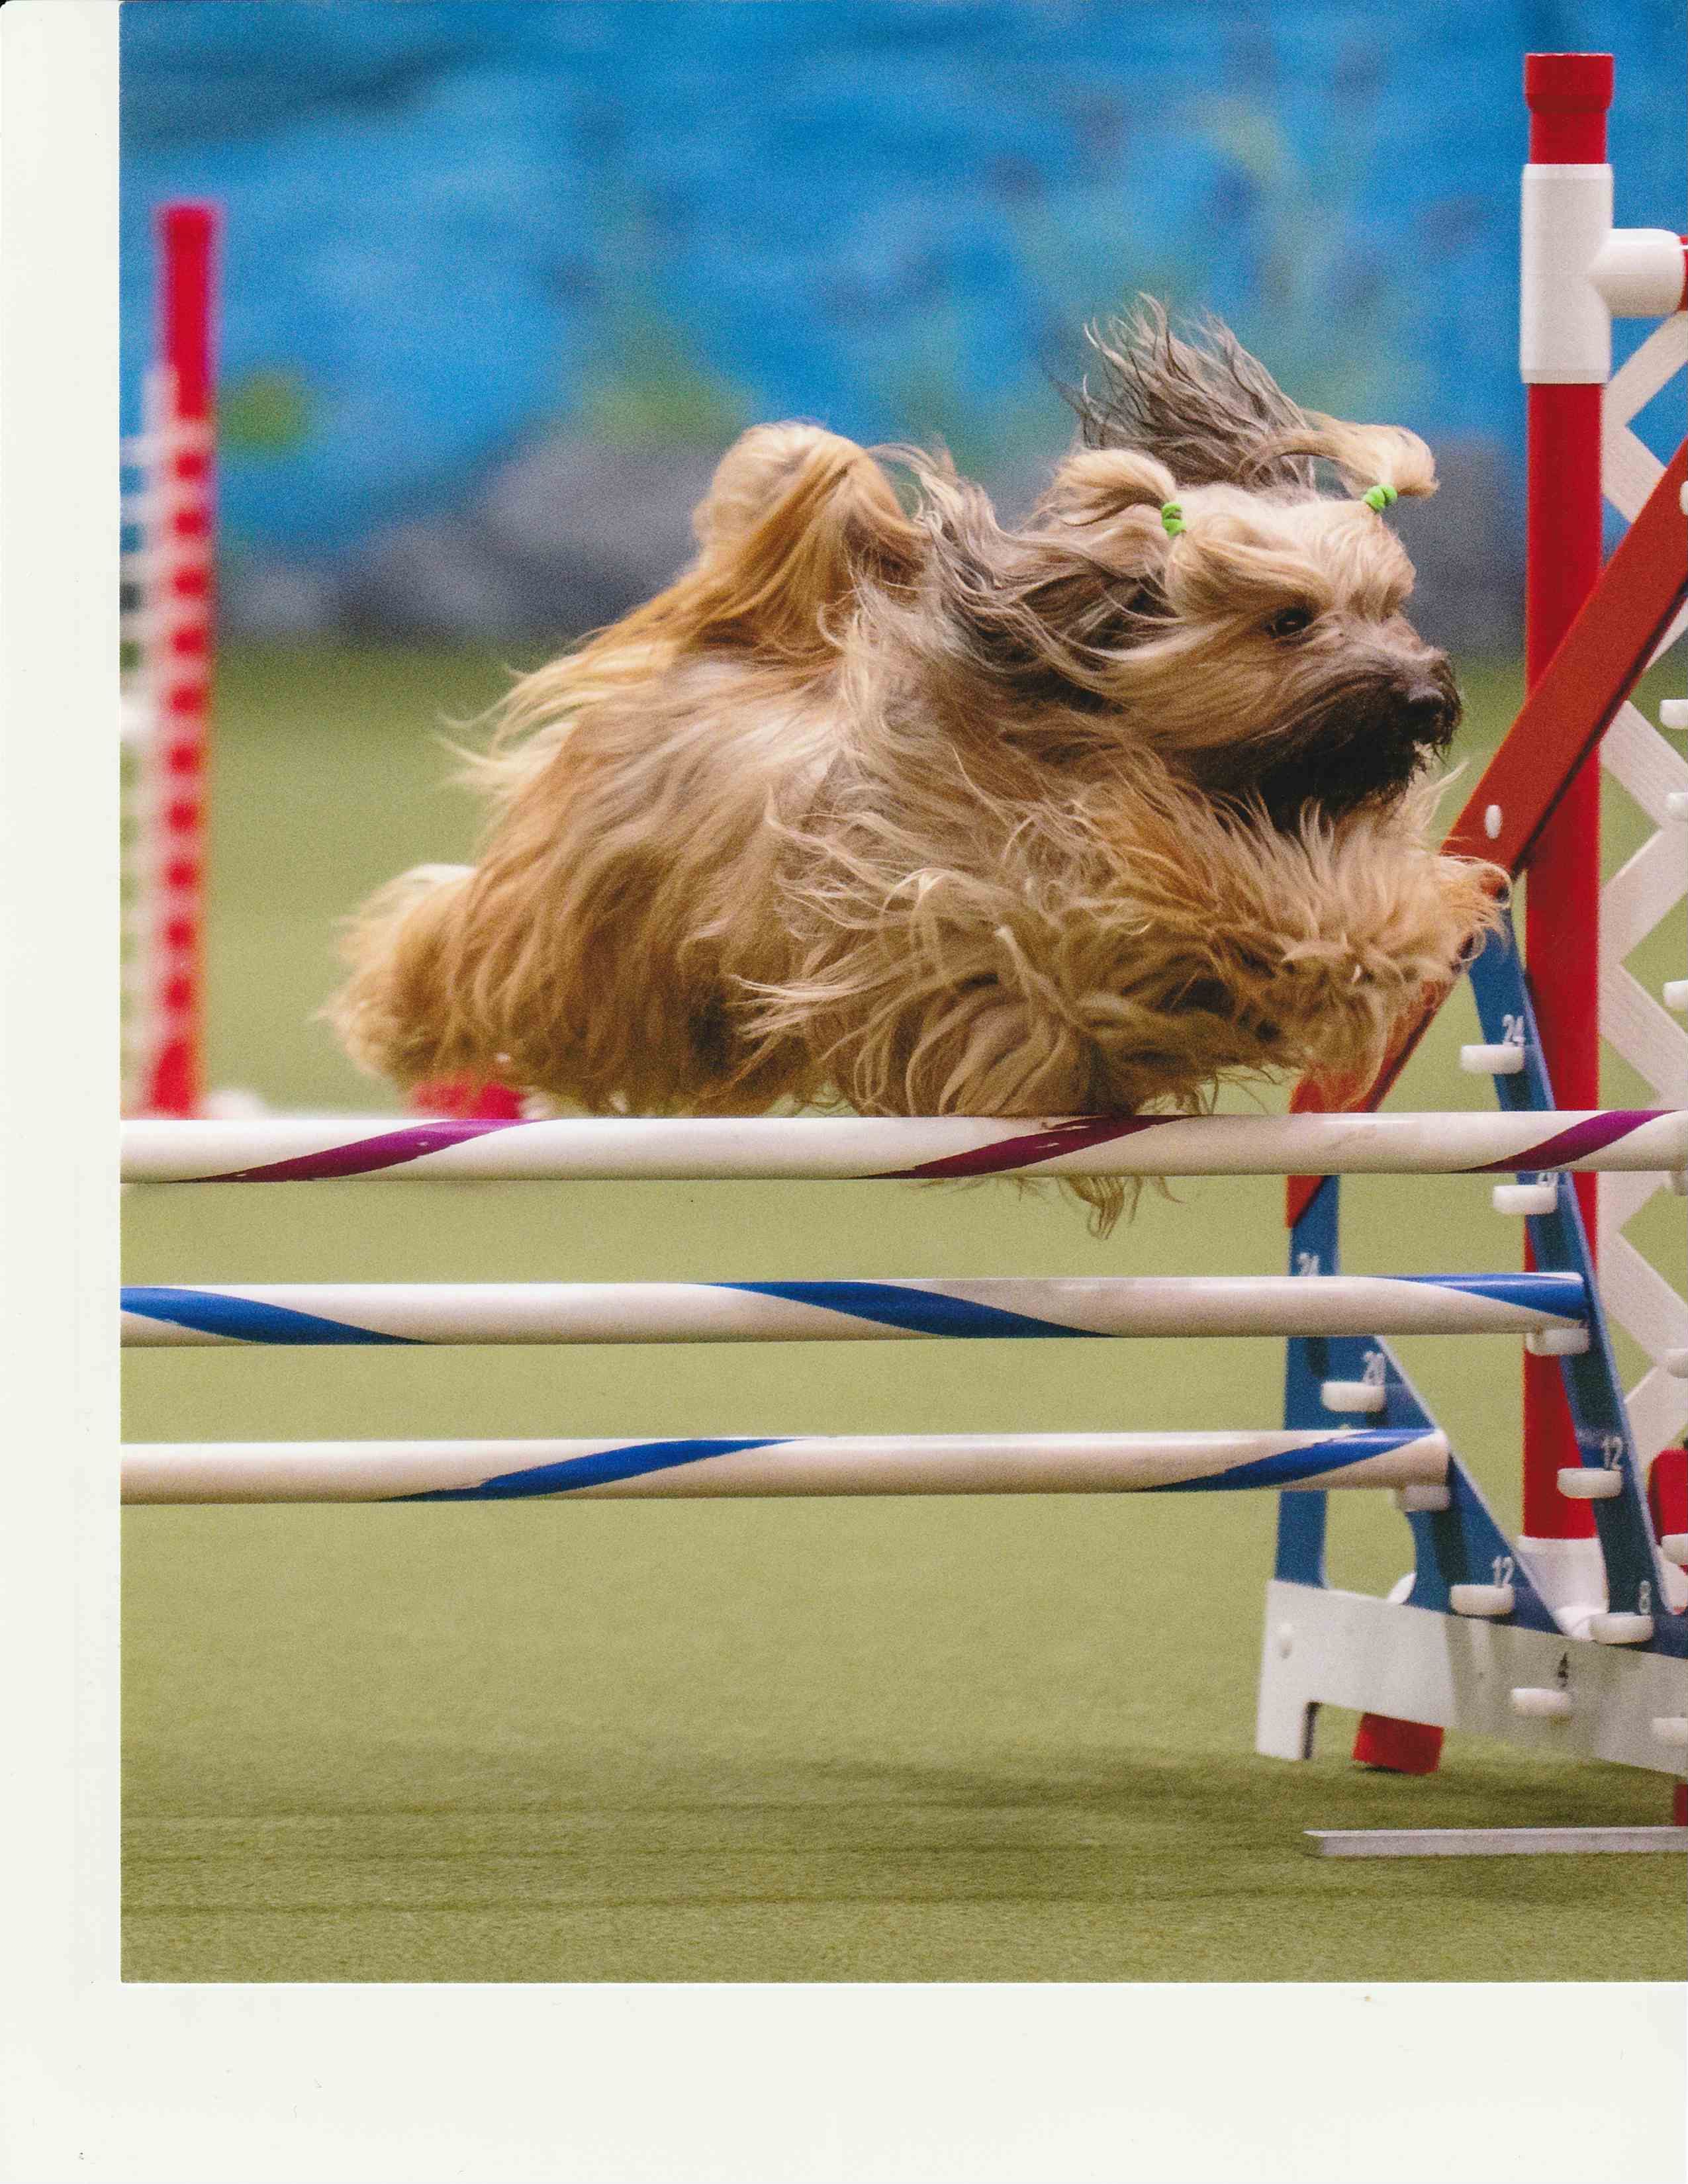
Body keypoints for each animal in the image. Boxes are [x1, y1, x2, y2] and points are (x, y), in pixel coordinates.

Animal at [332, 306, 1502, 1223]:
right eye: (1289, 620)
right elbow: (1198, 900)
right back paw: (394, 1007)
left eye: (1391, 606)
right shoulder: (1038, 918)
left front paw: (1393, 926)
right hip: (571, 950)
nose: (1425, 696)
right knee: (451, 938)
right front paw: (1328, 935)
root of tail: (726, 650)